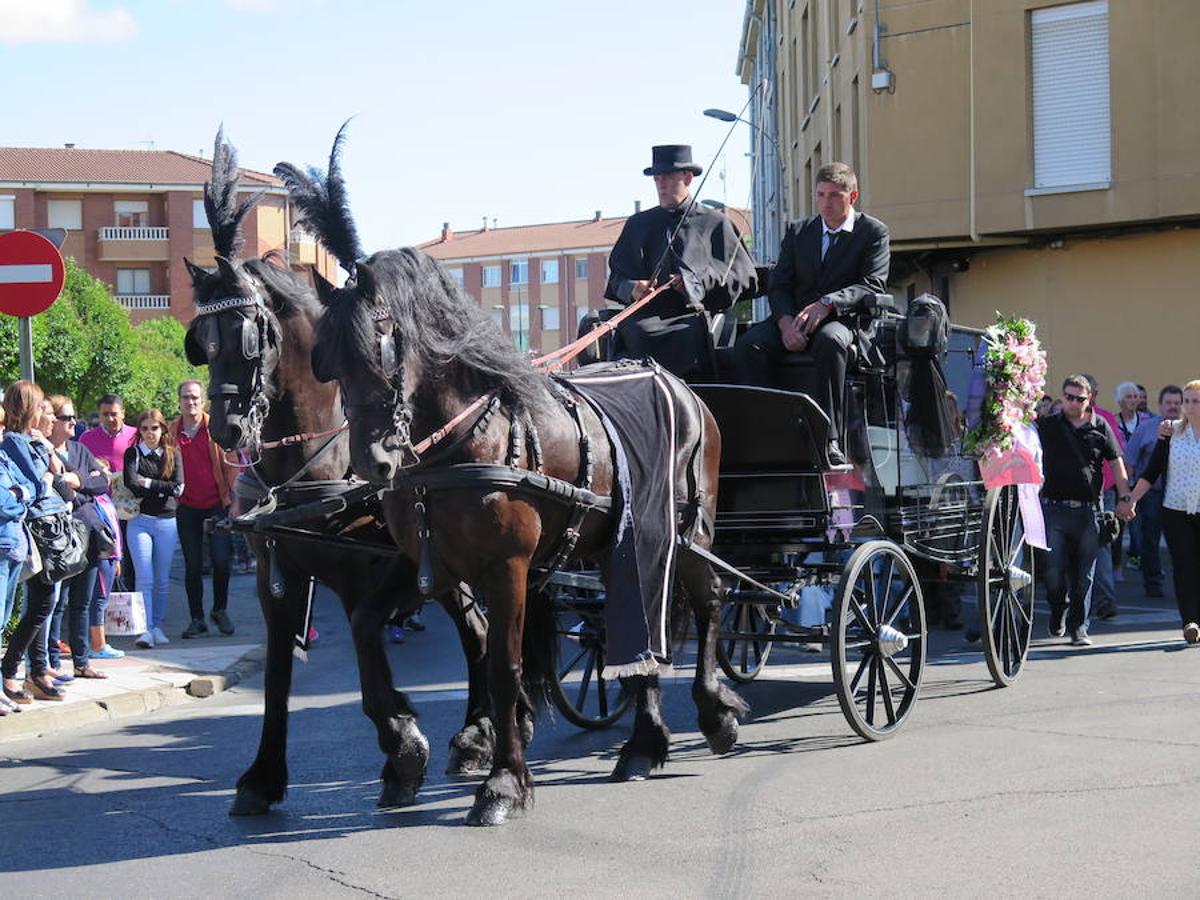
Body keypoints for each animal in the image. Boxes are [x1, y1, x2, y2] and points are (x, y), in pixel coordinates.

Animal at [178, 132, 496, 816]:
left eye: (247, 336)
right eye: (200, 342)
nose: (222, 429)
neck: (309, 475)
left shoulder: (386, 572)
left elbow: (364, 640)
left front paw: (402, 746)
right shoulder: (278, 576)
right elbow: (278, 672)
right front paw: (263, 775)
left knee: (480, 629)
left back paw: (480, 735)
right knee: (479, 630)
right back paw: (476, 735)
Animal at [278, 130, 748, 830]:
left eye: (384, 338)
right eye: (328, 360)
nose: (374, 464)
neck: (460, 444)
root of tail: (682, 385)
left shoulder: (506, 569)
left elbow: (503, 666)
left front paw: (502, 780)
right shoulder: (425, 560)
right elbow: (365, 628)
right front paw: (406, 749)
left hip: (688, 528)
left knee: (710, 600)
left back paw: (713, 712)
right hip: (623, 541)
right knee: (637, 622)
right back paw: (643, 744)